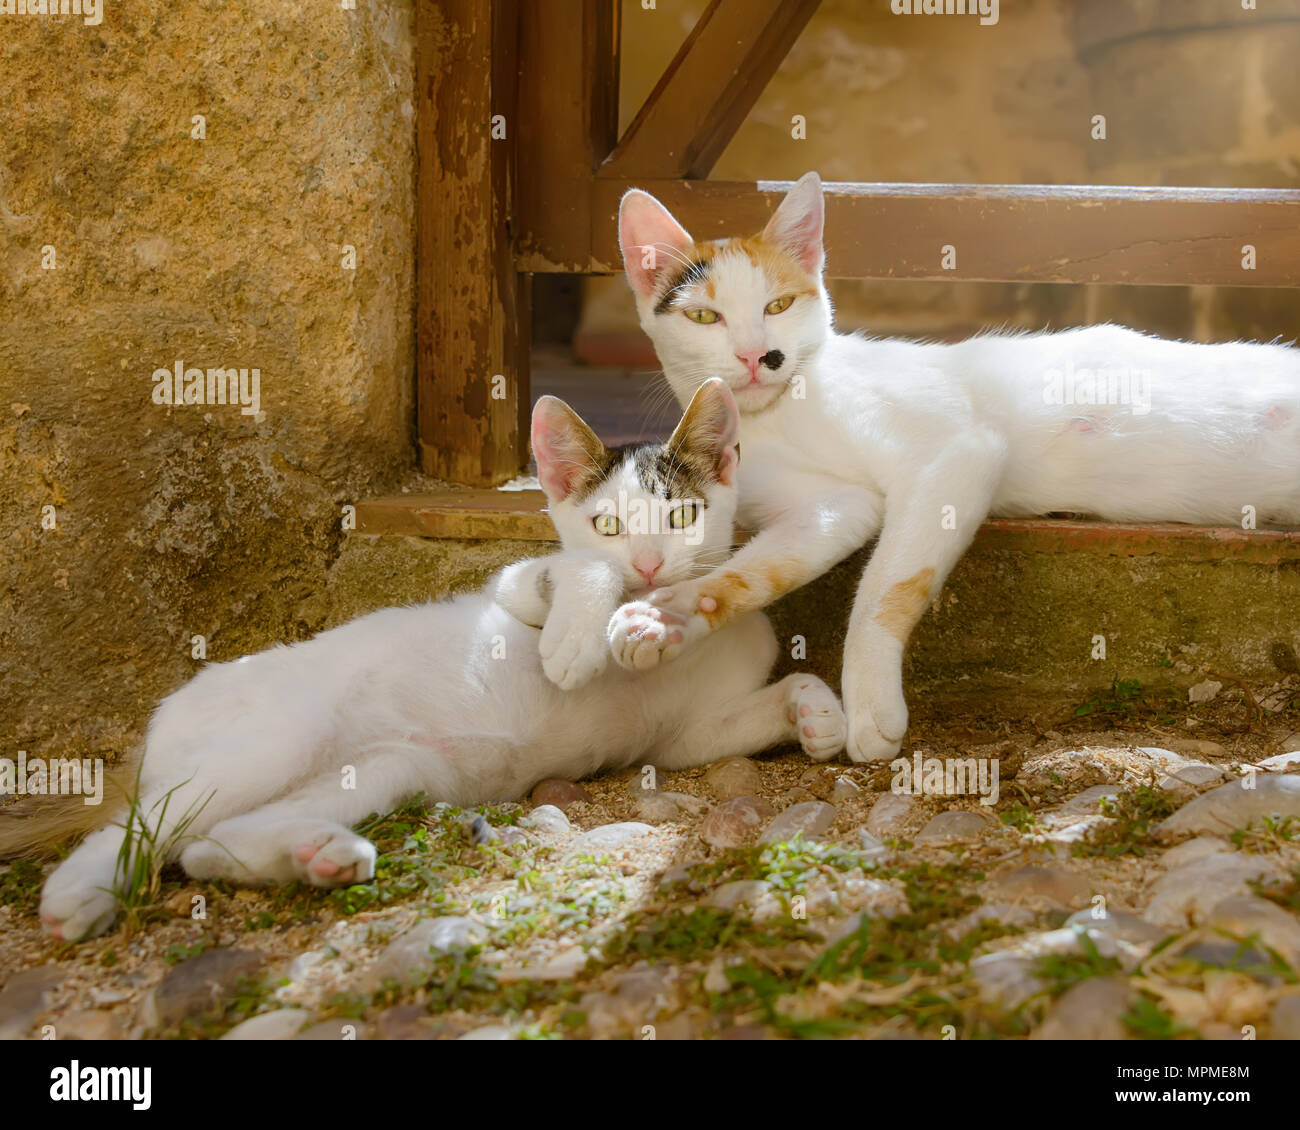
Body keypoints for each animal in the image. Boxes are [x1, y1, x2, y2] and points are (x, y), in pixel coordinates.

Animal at [30, 379, 847, 941]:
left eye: (681, 515)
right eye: (607, 525)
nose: (648, 564)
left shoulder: (682, 737)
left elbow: (747, 709)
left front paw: (815, 712)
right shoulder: (516, 584)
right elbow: (571, 572)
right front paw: (580, 639)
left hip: (387, 768)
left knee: (208, 842)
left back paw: (316, 855)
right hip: (274, 734)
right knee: (143, 823)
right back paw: (79, 895)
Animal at [605, 170, 1300, 759]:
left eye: (778, 306)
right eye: (704, 316)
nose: (760, 357)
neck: (779, 416)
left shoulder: (958, 452)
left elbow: (886, 587)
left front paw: (871, 704)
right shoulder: (836, 505)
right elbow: (754, 573)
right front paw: (665, 614)